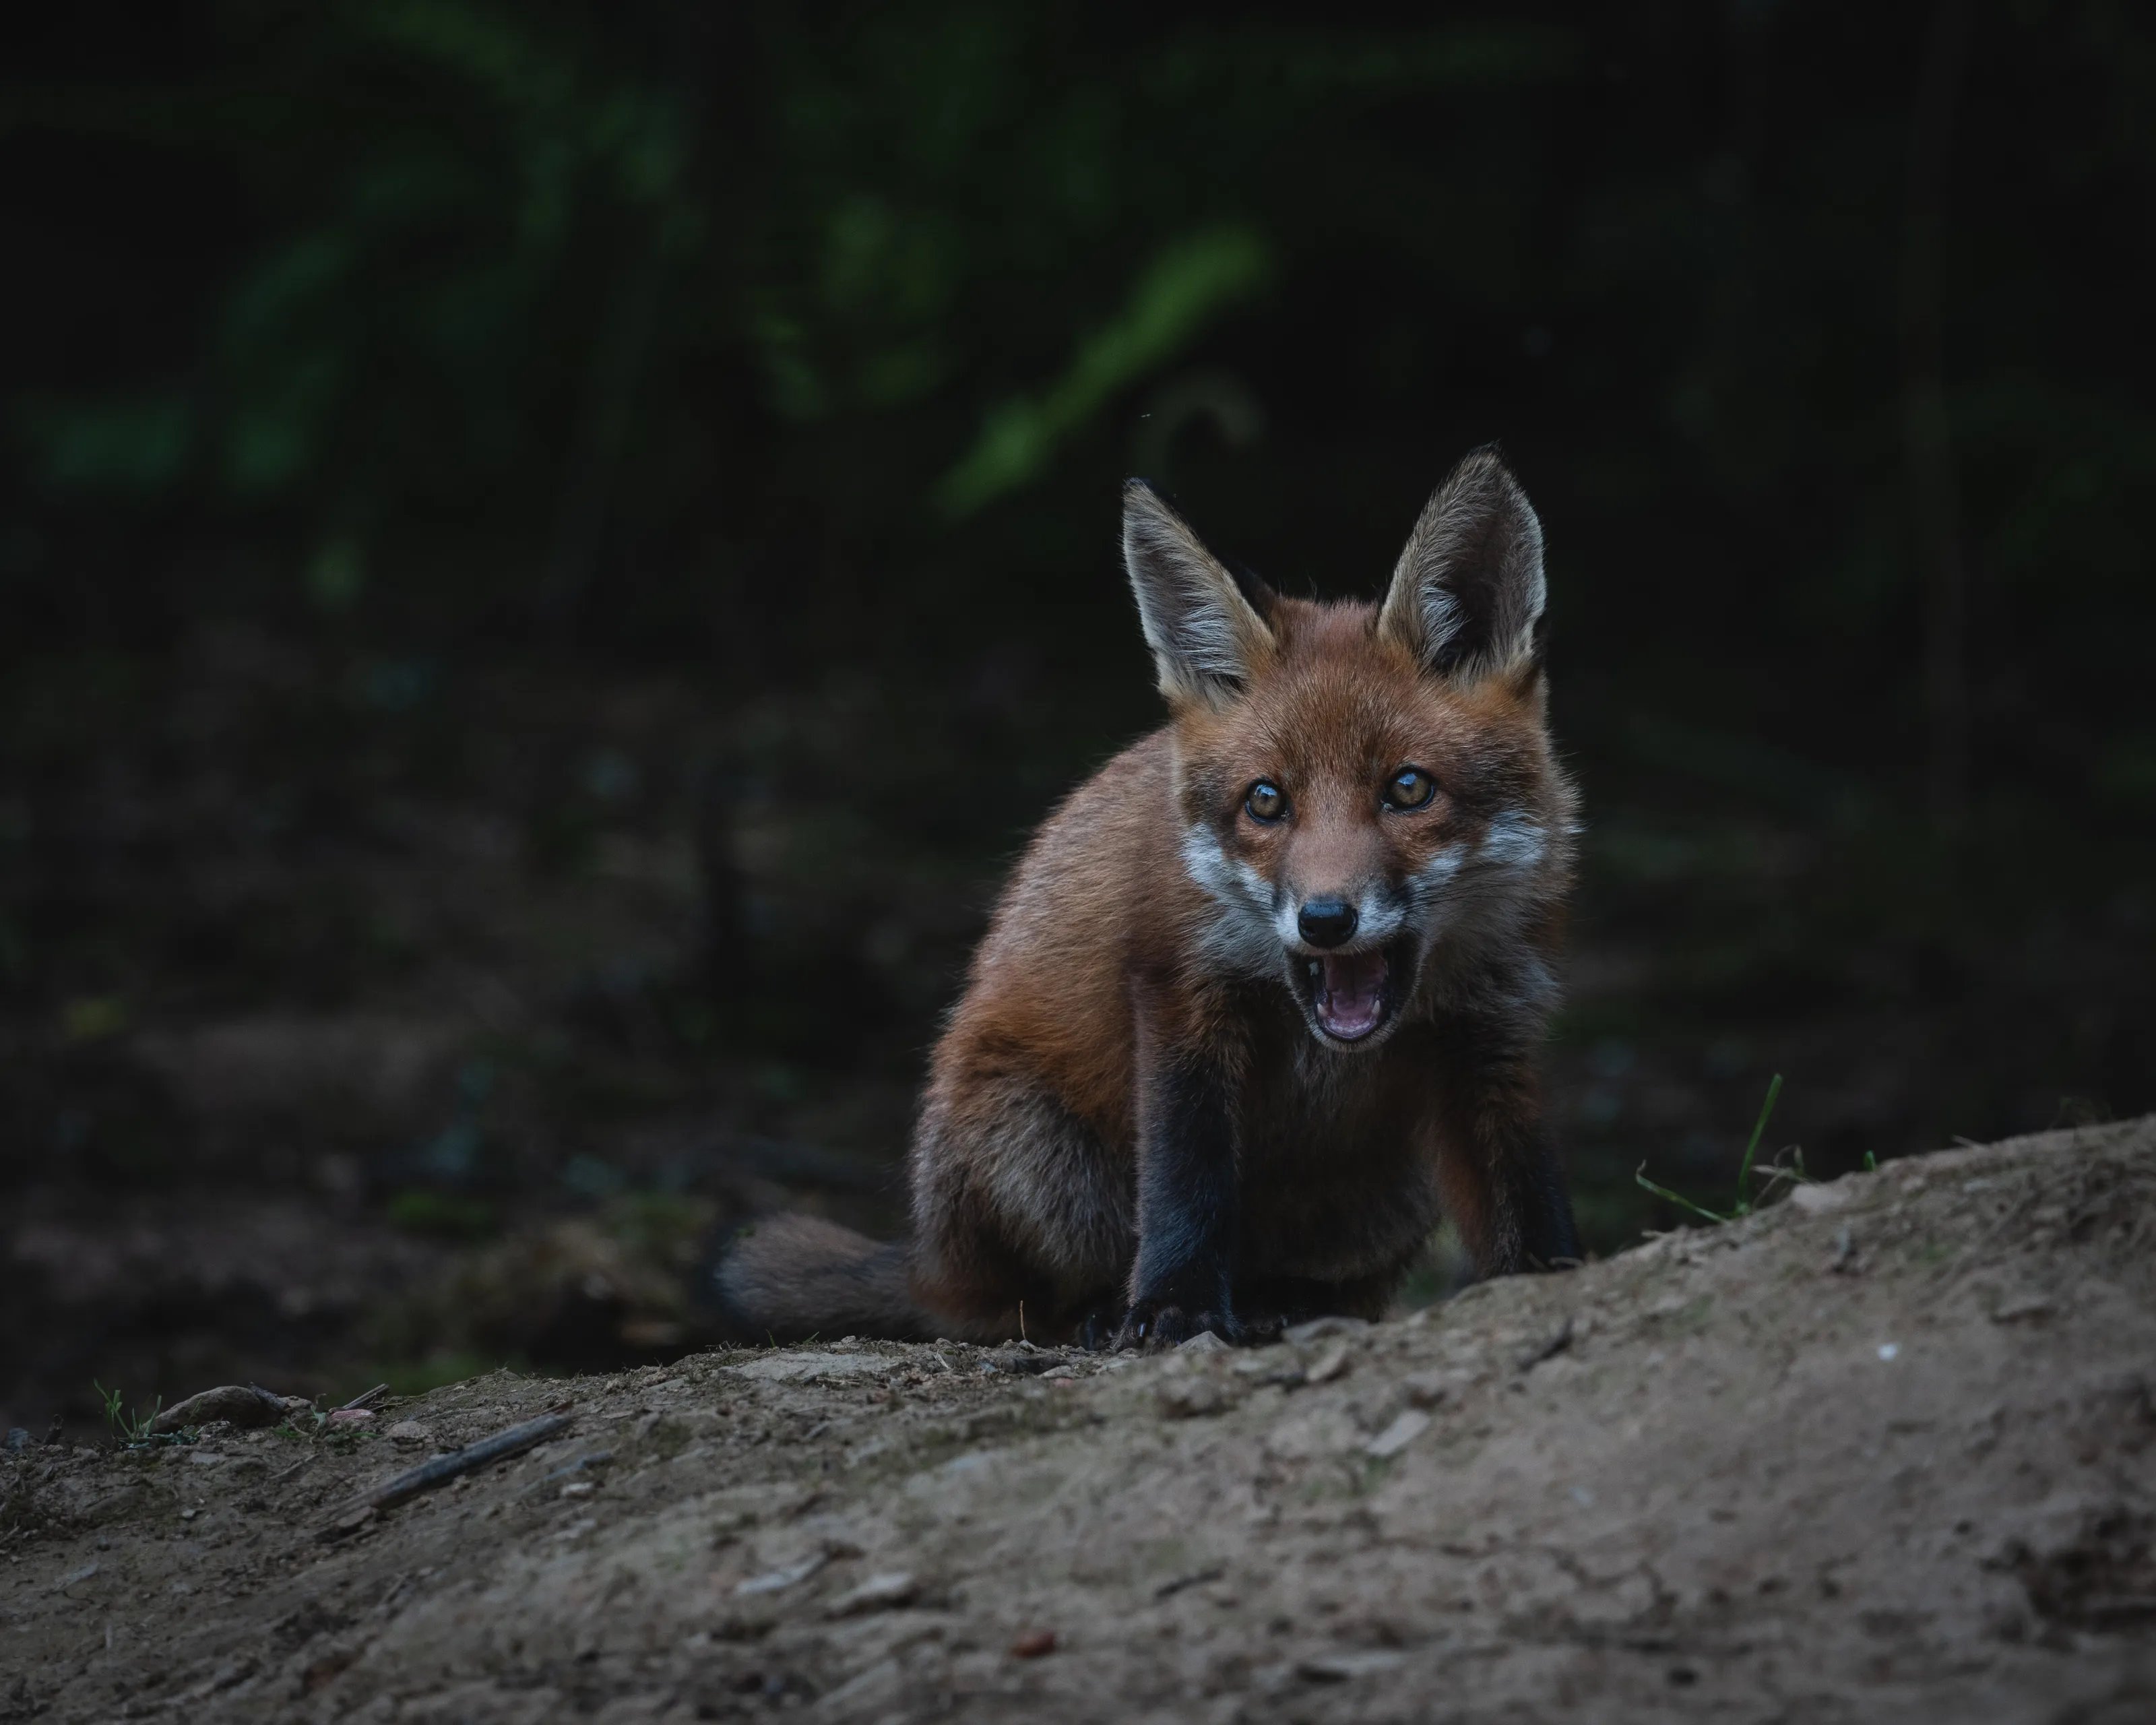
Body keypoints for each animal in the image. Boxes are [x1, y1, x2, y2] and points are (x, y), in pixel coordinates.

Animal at [717, 448, 1581, 1348]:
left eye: (1408, 790)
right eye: (1265, 801)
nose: (1324, 920)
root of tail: (925, 1259)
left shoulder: (1491, 1023)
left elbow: (1523, 1188)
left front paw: (1551, 1274)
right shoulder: (1179, 987)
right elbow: (1185, 1176)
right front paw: (1175, 1305)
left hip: (1388, 1195)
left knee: (1345, 1287)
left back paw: (1286, 1299)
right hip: (1030, 1148)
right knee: (1007, 1307)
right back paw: (1104, 1310)